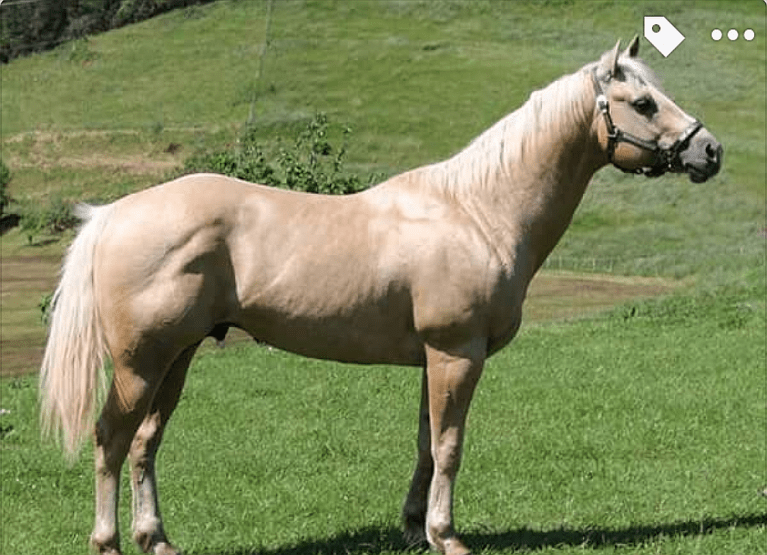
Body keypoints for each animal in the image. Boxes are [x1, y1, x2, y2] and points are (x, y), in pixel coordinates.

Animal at [40, 38, 721, 555]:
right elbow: (450, 446)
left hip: (175, 359)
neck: (479, 211)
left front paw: (416, 530)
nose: (708, 150)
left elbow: (425, 444)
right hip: (141, 363)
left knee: (144, 445)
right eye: (642, 102)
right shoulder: (457, 354)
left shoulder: (432, 359)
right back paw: (108, 542)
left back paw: (157, 540)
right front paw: (448, 537)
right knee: (111, 439)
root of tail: (112, 214)